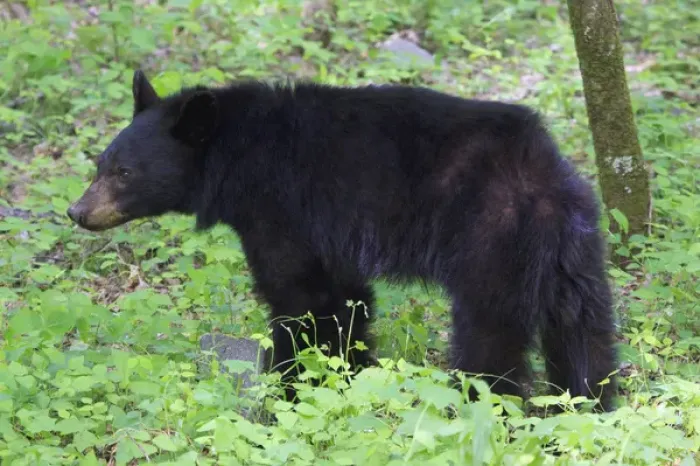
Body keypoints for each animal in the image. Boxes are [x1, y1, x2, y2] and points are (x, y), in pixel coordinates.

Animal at [67, 70, 618, 411]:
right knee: (584, 336)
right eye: (101, 163)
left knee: (490, 339)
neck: (238, 154)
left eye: (123, 172)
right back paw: (585, 407)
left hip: (492, 239)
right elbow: (347, 301)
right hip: (577, 253)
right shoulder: (331, 234)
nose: (77, 212)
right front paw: (347, 378)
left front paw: (288, 388)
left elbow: (300, 300)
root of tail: (541, 170)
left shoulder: (282, 210)